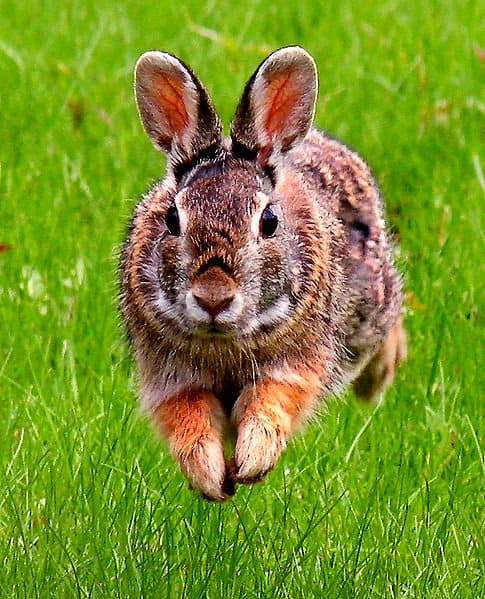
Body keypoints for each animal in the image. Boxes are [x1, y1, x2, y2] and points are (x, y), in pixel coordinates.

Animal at [120, 44, 404, 502]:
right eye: (172, 219)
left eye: (268, 221)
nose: (213, 296)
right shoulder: (169, 375)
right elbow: (188, 419)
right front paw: (211, 479)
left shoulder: (297, 362)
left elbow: (273, 401)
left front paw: (252, 461)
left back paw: (377, 381)